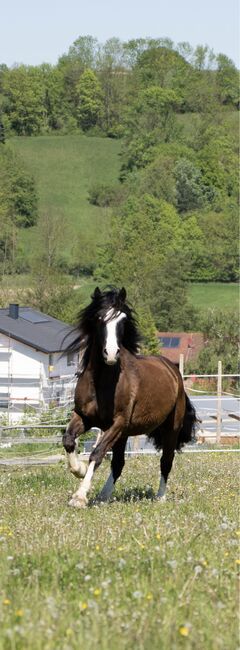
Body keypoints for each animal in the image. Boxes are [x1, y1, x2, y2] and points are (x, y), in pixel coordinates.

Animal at [62, 288, 197, 506]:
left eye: (123, 320)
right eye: (99, 317)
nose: (111, 353)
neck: (102, 382)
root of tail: (173, 370)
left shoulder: (118, 422)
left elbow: (97, 453)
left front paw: (79, 497)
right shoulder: (84, 417)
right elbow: (68, 440)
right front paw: (79, 470)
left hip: (170, 429)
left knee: (166, 461)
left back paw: (160, 497)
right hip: (124, 434)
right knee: (118, 463)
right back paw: (103, 496)